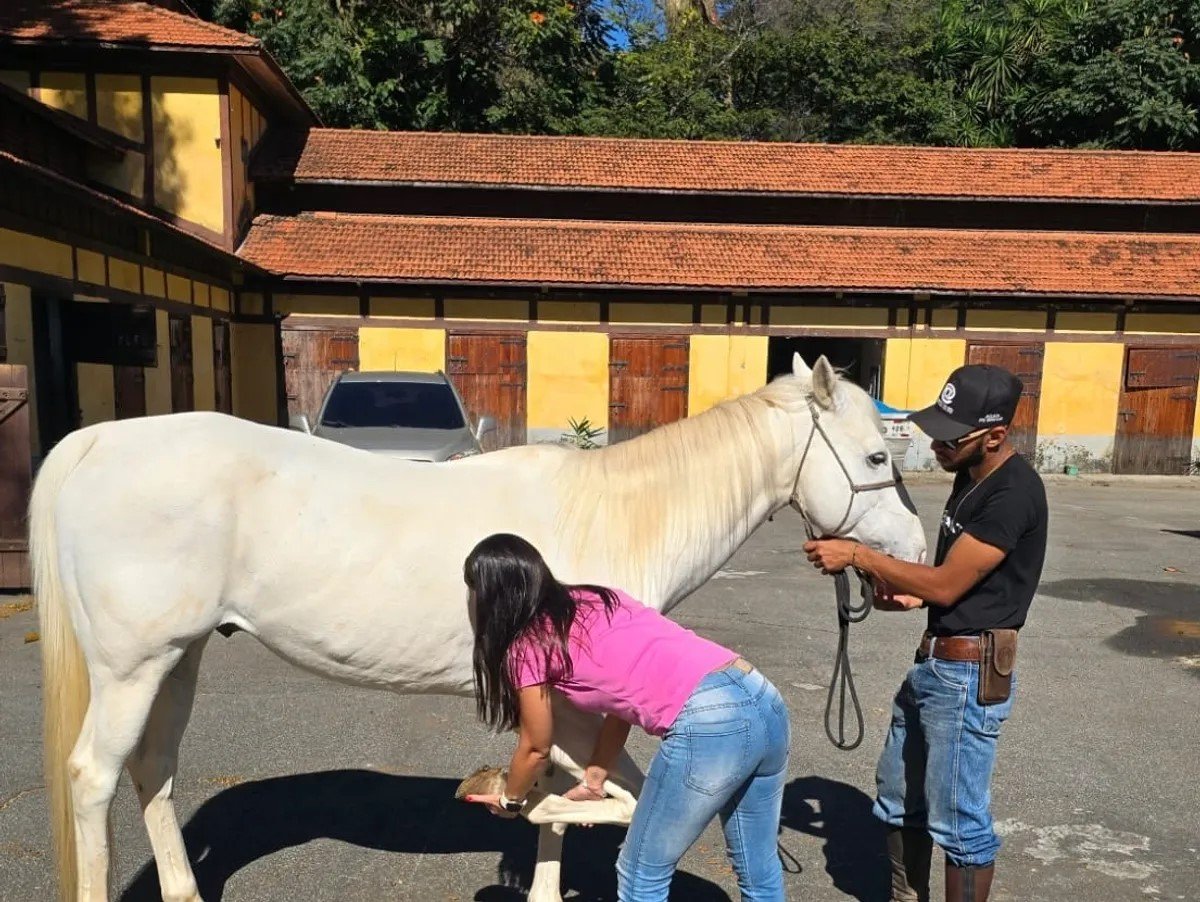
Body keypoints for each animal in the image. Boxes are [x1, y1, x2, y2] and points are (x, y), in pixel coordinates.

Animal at [32, 353, 925, 902]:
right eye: (876, 459)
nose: (915, 554)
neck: (616, 514)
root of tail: (99, 441)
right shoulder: (574, 703)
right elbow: (593, 800)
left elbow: (568, 799)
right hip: (131, 668)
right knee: (93, 776)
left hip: (176, 660)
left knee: (153, 771)